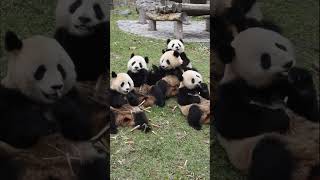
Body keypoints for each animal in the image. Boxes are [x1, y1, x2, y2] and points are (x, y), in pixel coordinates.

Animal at [0, 31, 107, 180]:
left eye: (60, 69)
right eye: (41, 70)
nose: (56, 86)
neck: (46, 104)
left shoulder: (74, 95)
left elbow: (82, 129)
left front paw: (62, 107)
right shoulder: (9, 95)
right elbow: (17, 133)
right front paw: (47, 126)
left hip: (82, 158)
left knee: (98, 169)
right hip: (14, 157)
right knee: (7, 167)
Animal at [212, 27, 320, 180]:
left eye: (280, 46)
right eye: (265, 59)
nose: (288, 63)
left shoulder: (282, 85)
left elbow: (310, 111)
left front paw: (300, 78)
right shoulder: (230, 90)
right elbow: (231, 121)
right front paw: (283, 118)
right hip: (263, 146)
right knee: (270, 156)